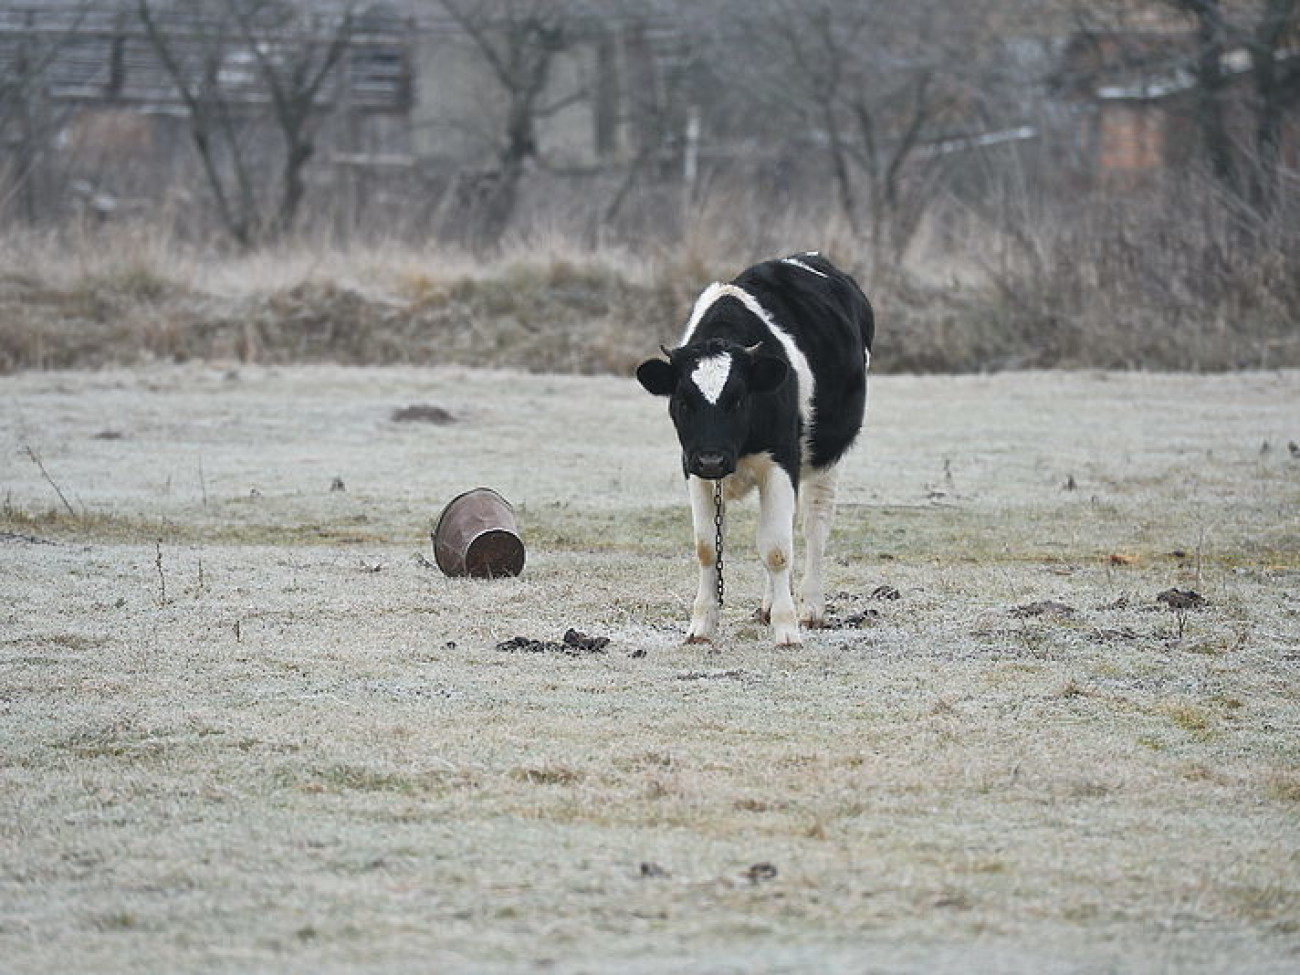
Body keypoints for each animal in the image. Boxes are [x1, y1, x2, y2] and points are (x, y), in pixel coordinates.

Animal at [637, 253, 873, 650]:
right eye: (683, 401)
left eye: (737, 400)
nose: (712, 460)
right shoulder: (693, 469)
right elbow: (707, 547)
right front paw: (701, 626)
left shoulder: (780, 464)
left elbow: (777, 550)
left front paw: (787, 629)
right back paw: (768, 605)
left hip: (827, 456)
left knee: (814, 526)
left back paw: (810, 607)